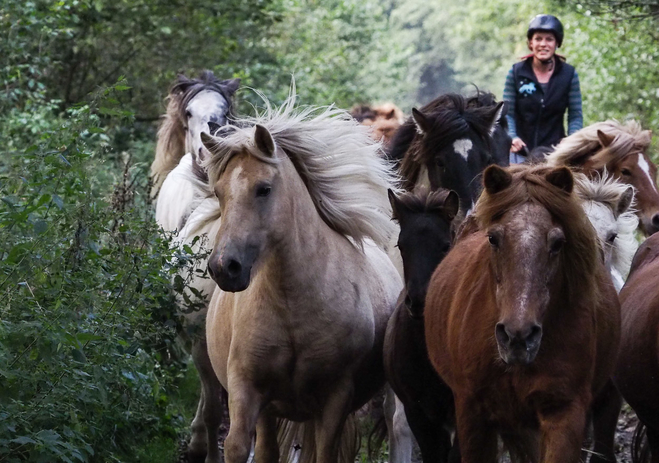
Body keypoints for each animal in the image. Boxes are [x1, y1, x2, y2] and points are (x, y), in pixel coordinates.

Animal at [183, 96, 402, 463]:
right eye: (219, 192)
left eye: (264, 189)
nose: (225, 267)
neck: (291, 306)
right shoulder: (247, 389)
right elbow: (240, 447)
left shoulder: (335, 399)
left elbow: (326, 452)